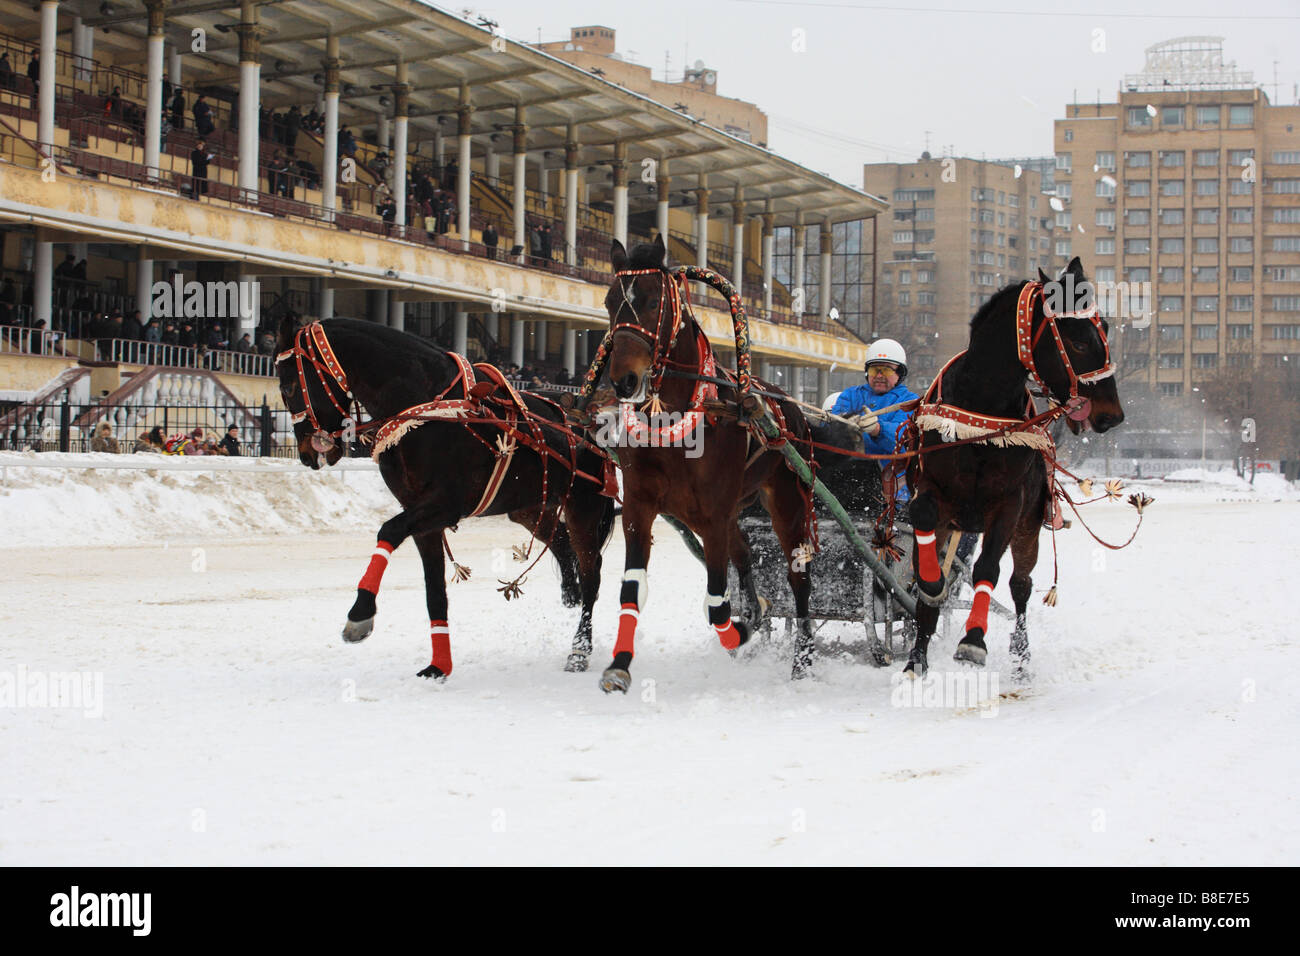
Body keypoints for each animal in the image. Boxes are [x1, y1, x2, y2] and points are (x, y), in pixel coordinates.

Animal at [273, 317, 613, 676]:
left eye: (289, 388)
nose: (307, 452)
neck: (425, 408)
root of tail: (588, 423)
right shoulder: (421, 516)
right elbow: (434, 592)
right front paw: (438, 665)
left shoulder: (445, 505)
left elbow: (388, 530)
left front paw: (360, 612)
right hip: (529, 505)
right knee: (561, 541)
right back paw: (570, 592)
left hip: (584, 506)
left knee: (592, 571)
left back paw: (580, 647)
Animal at [592, 235, 832, 691]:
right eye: (610, 300)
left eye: (653, 300)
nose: (623, 381)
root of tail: (787, 406)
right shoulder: (639, 507)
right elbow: (633, 588)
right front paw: (619, 663)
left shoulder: (714, 516)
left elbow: (718, 603)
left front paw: (742, 628)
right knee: (746, 554)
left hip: (788, 502)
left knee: (799, 577)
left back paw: (803, 658)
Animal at [904, 256, 1128, 681]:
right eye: (1079, 341)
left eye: (1105, 329)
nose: (1112, 414)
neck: (982, 415)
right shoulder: (932, 487)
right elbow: (924, 537)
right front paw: (930, 592)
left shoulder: (1010, 503)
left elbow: (987, 569)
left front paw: (974, 640)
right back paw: (917, 653)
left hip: (1029, 527)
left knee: (1020, 584)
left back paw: (1020, 654)